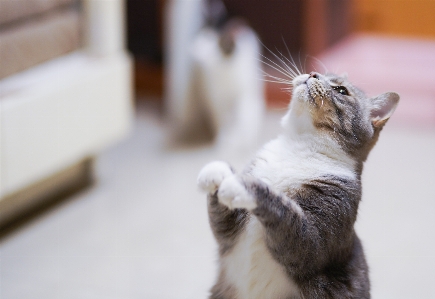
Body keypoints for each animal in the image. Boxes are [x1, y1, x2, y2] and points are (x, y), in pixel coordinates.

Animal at [199, 68, 400, 299]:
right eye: (323, 73)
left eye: (341, 90)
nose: (313, 74)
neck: (298, 147)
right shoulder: (229, 238)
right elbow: (221, 225)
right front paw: (217, 171)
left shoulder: (311, 242)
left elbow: (285, 212)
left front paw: (244, 186)